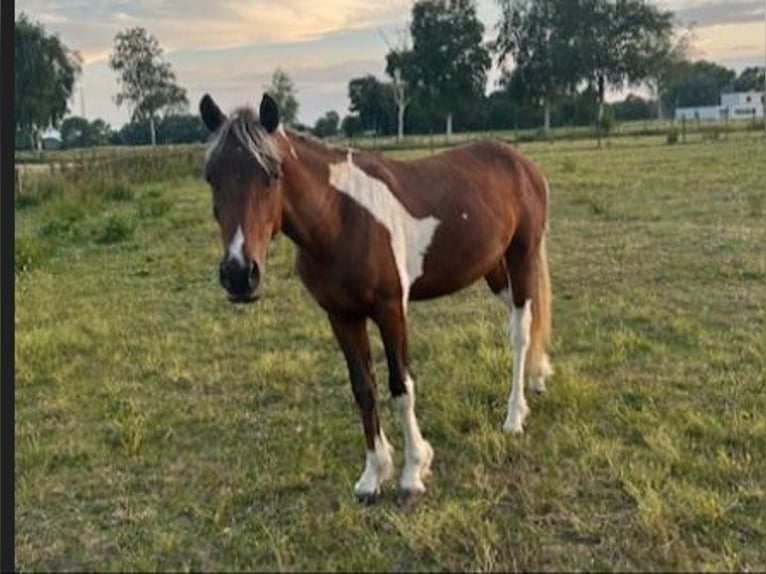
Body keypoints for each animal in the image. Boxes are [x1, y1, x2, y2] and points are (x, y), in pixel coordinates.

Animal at [199, 92, 553, 503]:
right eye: (211, 177)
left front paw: (413, 472)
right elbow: (363, 389)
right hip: (494, 269)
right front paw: (373, 475)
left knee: (520, 331)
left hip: (521, 258)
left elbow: (400, 387)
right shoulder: (341, 315)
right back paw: (537, 378)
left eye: (272, 174)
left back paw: (514, 417)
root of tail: (522, 164)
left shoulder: (390, 309)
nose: (240, 274)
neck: (341, 218)